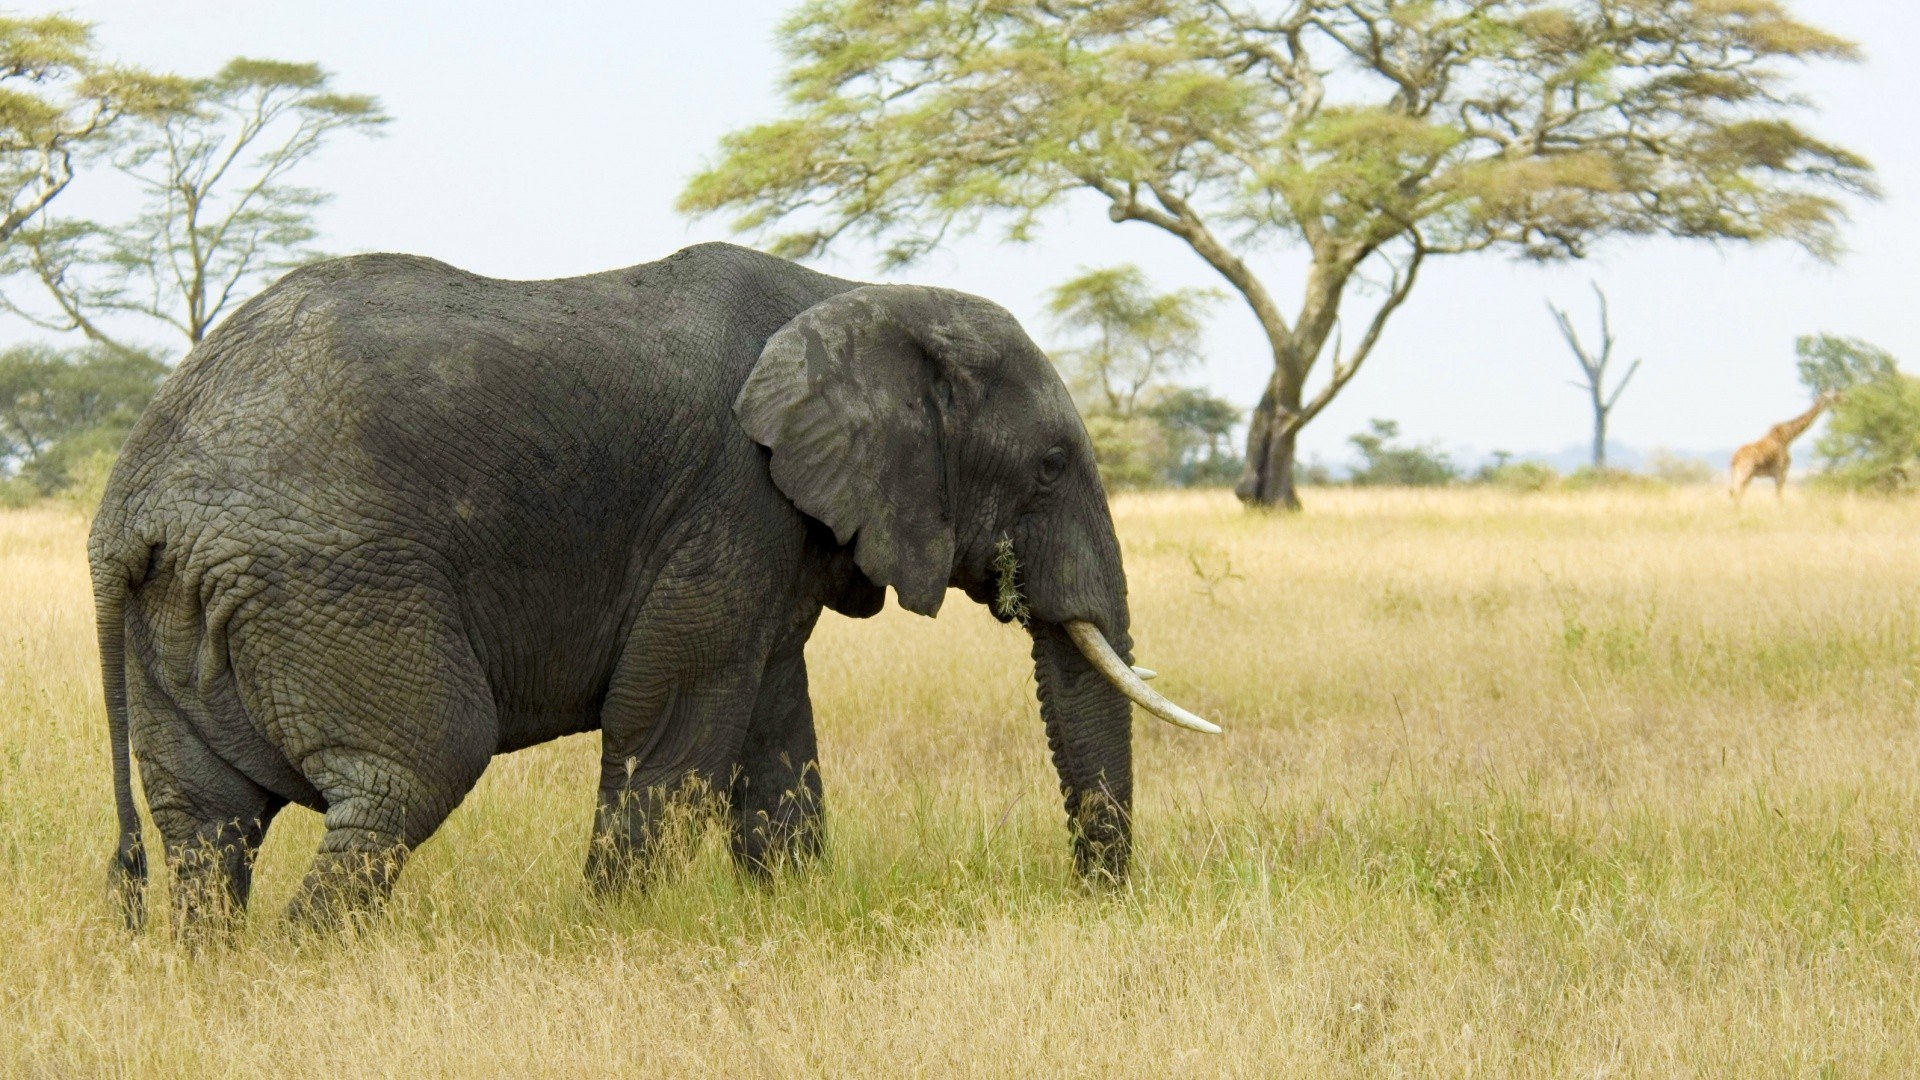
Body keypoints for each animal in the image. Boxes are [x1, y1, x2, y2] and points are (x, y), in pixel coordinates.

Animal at [89, 241, 1217, 932]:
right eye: (1050, 467)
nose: (1096, 902)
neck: (852, 293)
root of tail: (130, 505)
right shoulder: (731, 499)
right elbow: (672, 718)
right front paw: (614, 932)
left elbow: (772, 726)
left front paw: (787, 917)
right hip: (332, 579)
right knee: (412, 771)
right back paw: (311, 965)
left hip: (187, 612)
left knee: (208, 824)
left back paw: (221, 972)